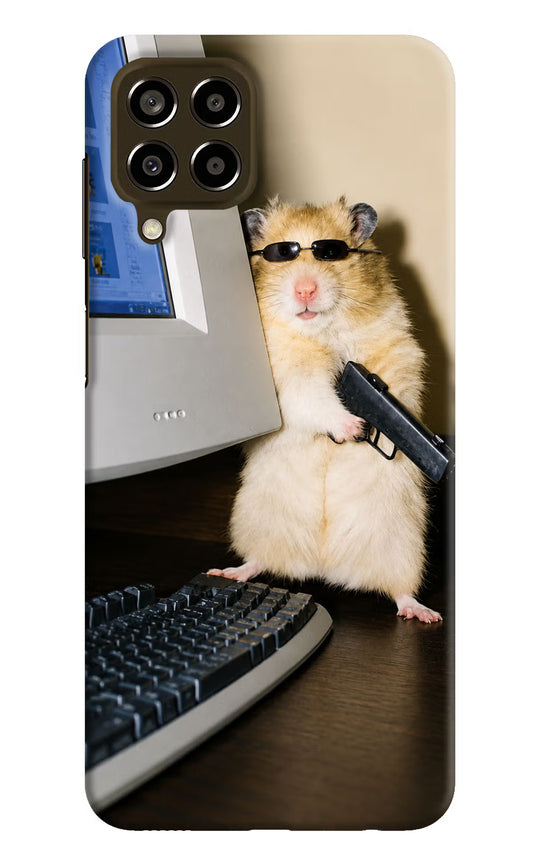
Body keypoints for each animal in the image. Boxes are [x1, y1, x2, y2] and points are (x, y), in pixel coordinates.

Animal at [208, 197, 442, 623]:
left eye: (331, 253)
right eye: (281, 254)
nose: (305, 289)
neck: (321, 330)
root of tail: (325, 567)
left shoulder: (398, 350)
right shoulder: (288, 378)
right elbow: (314, 398)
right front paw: (353, 428)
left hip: (403, 545)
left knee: (400, 590)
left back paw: (423, 613)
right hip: (257, 522)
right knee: (259, 561)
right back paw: (228, 572)